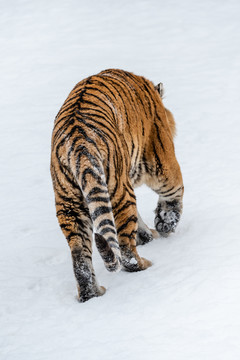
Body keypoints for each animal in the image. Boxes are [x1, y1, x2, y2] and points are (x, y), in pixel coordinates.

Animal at [49, 69, 183, 302]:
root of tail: (78, 146)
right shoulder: (161, 159)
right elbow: (174, 192)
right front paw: (164, 225)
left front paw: (150, 233)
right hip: (120, 191)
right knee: (126, 251)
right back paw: (145, 264)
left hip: (69, 205)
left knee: (80, 258)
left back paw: (92, 294)